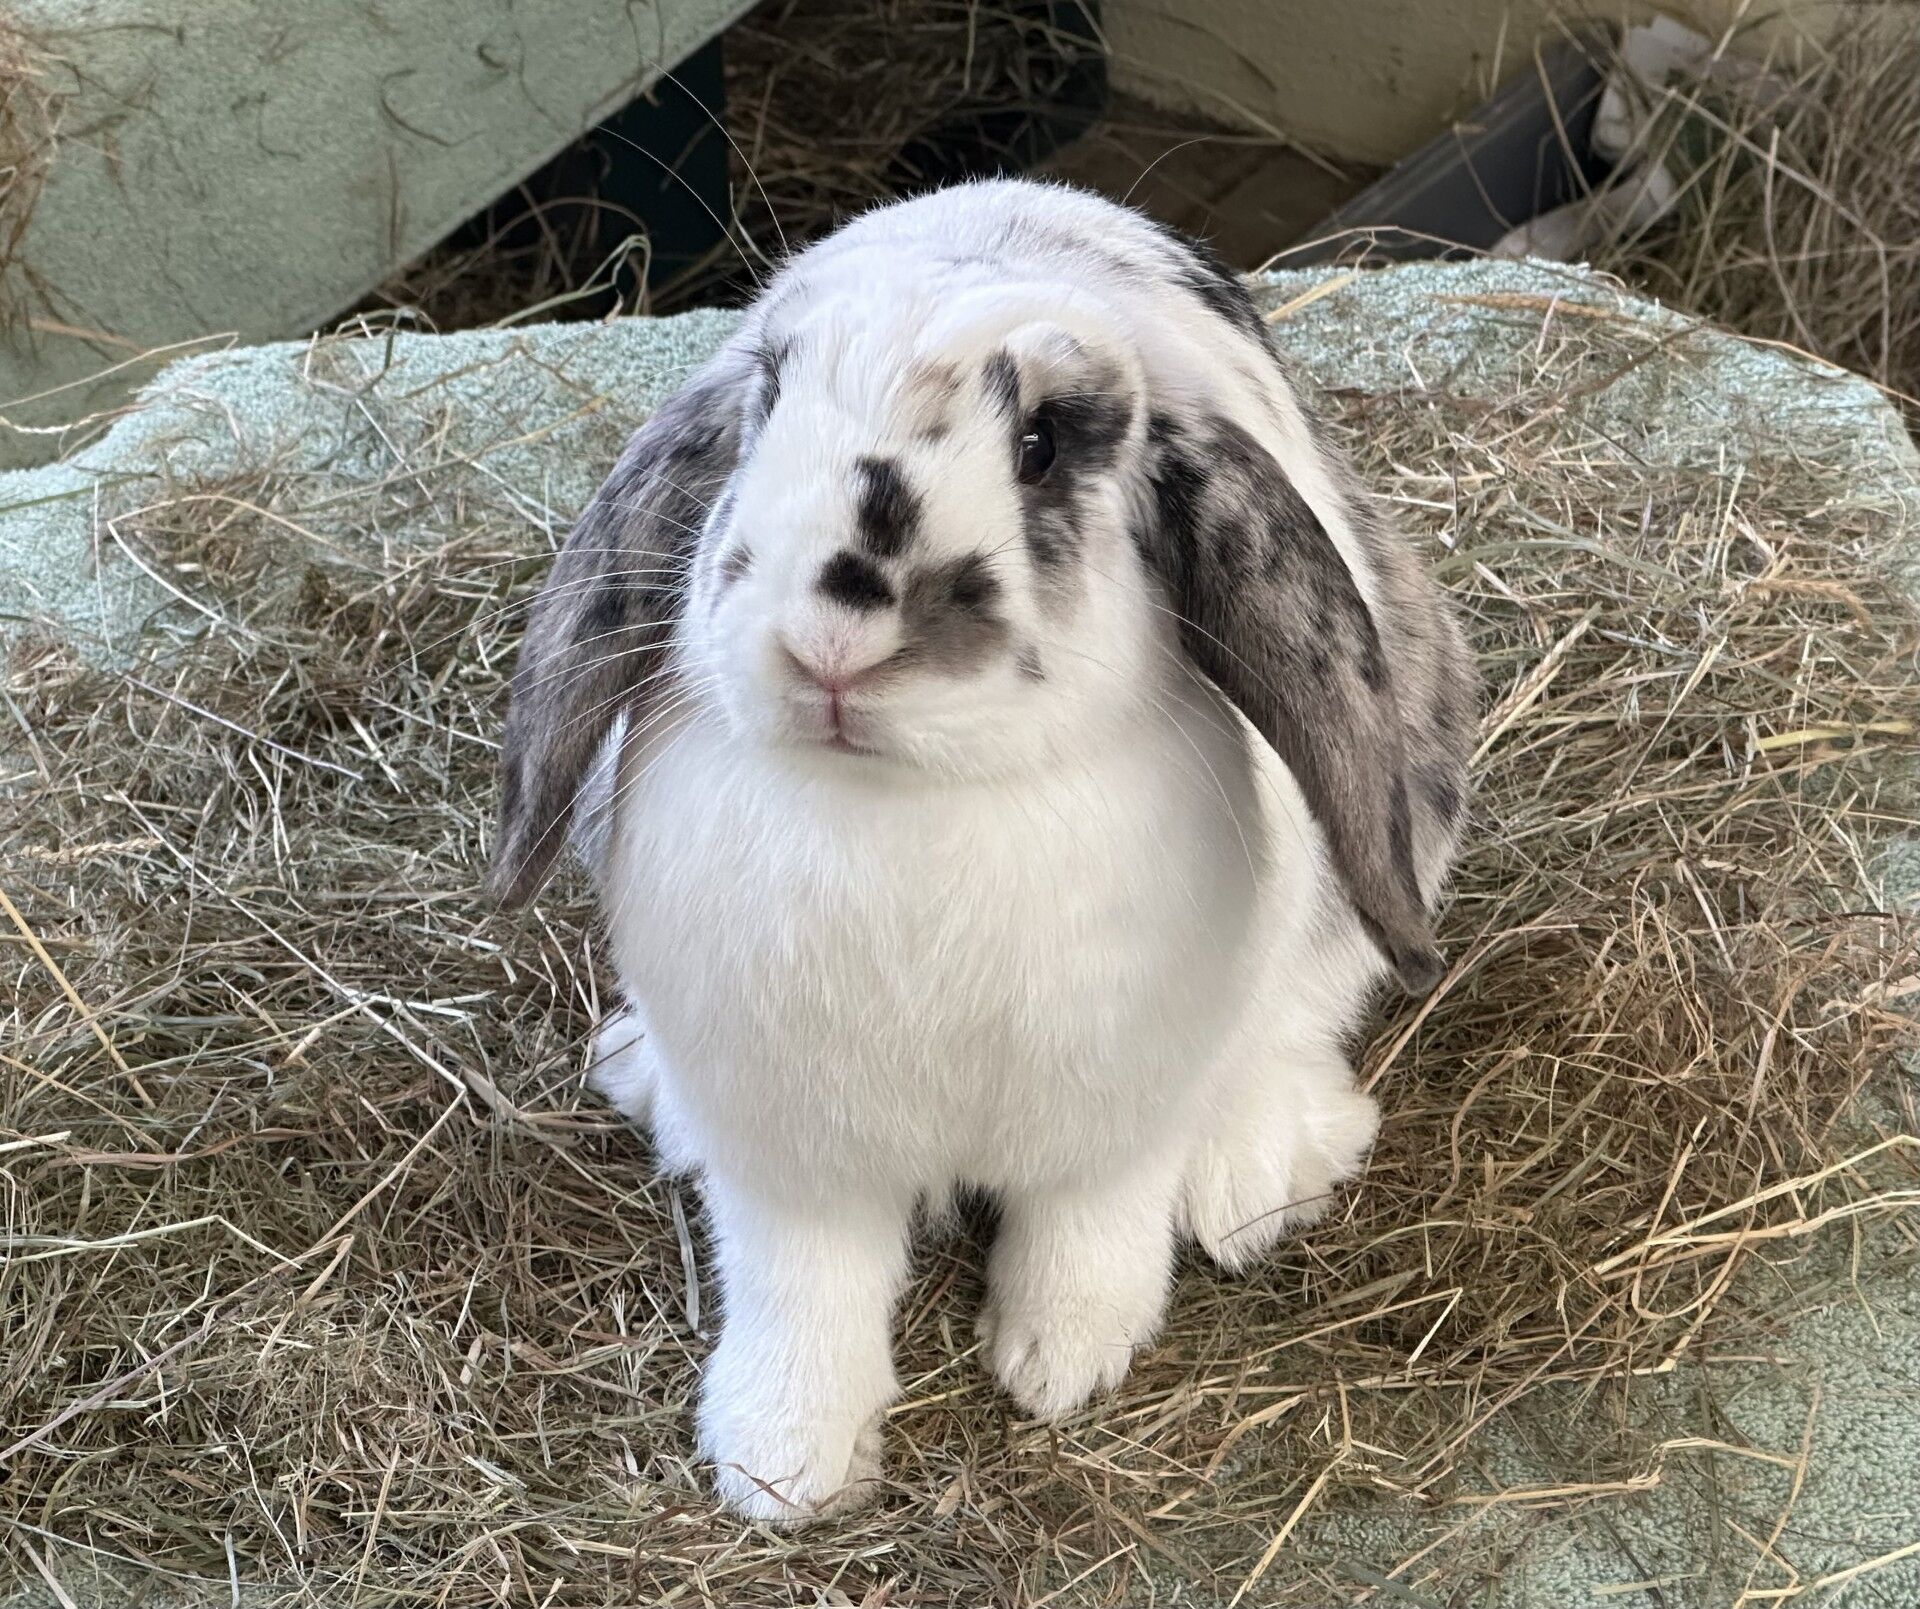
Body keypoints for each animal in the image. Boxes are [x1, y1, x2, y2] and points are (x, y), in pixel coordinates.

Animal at [486, 178, 1475, 1522]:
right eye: (767, 408)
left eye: (1042, 443)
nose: (831, 643)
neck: (913, 802)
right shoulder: (791, 1150)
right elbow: (803, 1286)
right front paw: (783, 1465)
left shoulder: (1114, 1114)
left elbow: (1088, 1232)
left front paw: (1059, 1362)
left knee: (1304, 1009)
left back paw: (1254, 1176)